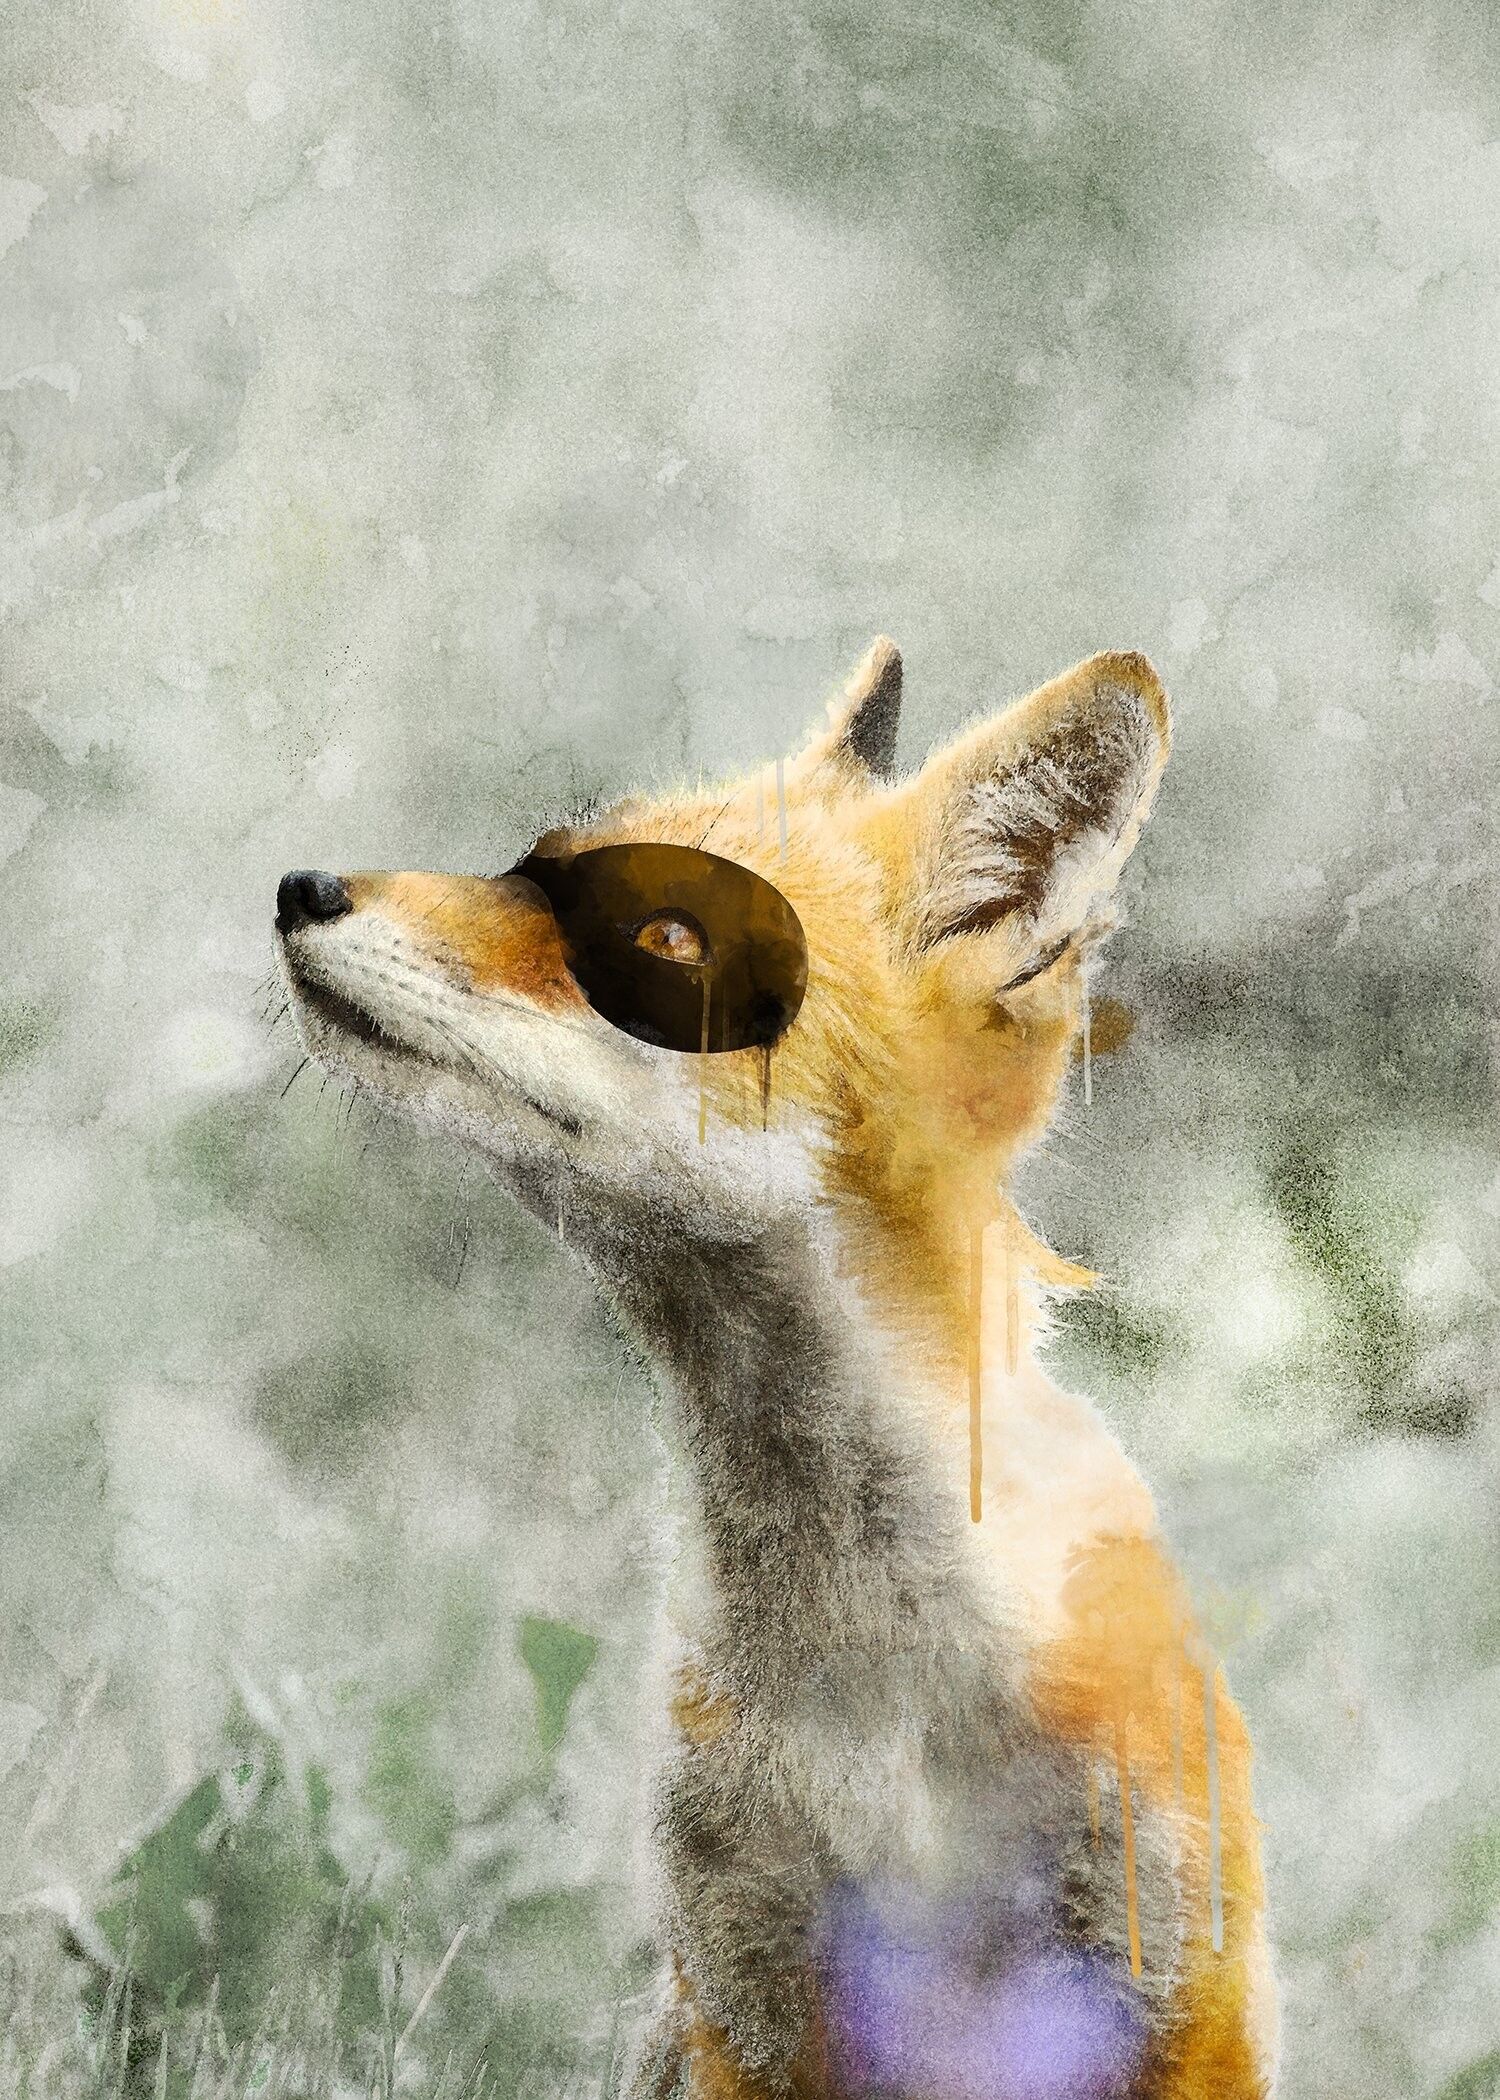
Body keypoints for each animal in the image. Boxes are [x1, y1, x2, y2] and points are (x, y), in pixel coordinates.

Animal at [275, 640, 1276, 2100]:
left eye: (665, 938)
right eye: (528, 864)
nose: (302, 887)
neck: (880, 1700)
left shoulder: (1166, 1987)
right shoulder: (741, 1996)